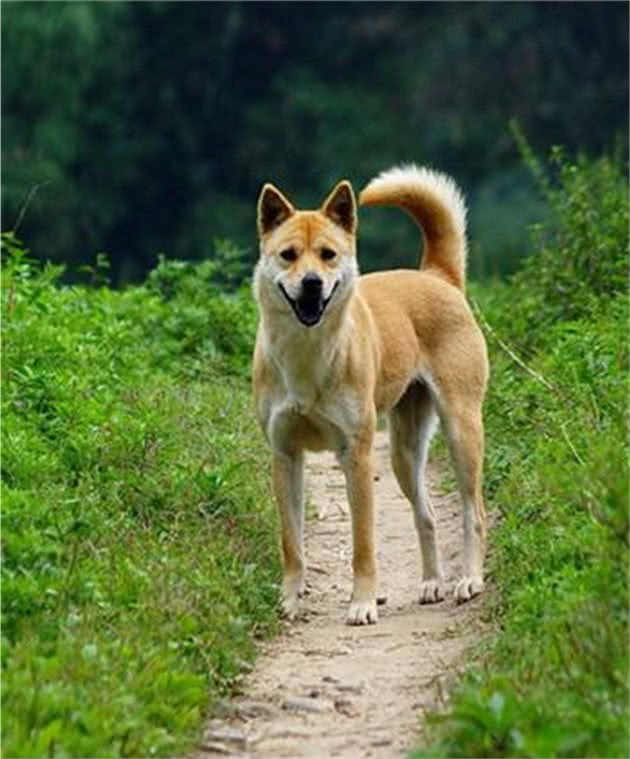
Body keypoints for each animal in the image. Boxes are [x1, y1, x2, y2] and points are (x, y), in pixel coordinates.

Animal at [254, 165, 492, 624]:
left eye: (328, 254)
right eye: (288, 255)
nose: (312, 284)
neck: (307, 355)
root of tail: (436, 276)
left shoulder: (357, 455)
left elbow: (363, 544)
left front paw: (362, 603)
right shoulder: (284, 455)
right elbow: (292, 543)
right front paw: (290, 600)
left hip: (461, 430)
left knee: (475, 512)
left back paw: (470, 580)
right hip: (403, 452)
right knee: (426, 516)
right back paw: (431, 583)